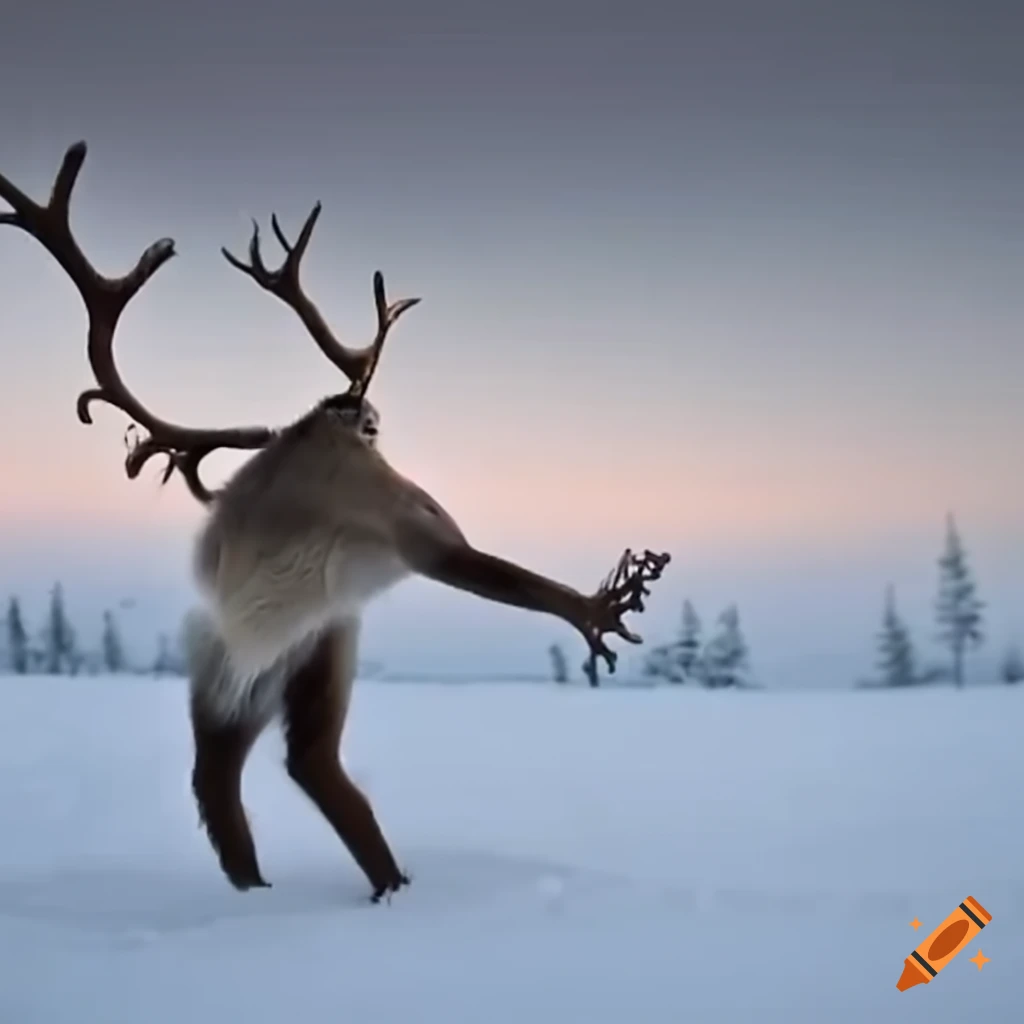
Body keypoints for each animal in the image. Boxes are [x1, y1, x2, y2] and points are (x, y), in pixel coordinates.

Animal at [0, 141, 671, 903]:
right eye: (375, 429)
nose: (371, 420)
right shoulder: (411, 523)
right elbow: (492, 569)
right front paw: (600, 609)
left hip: (299, 652)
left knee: (268, 769)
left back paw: (303, 884)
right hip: (276, 655)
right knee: (280, 764)